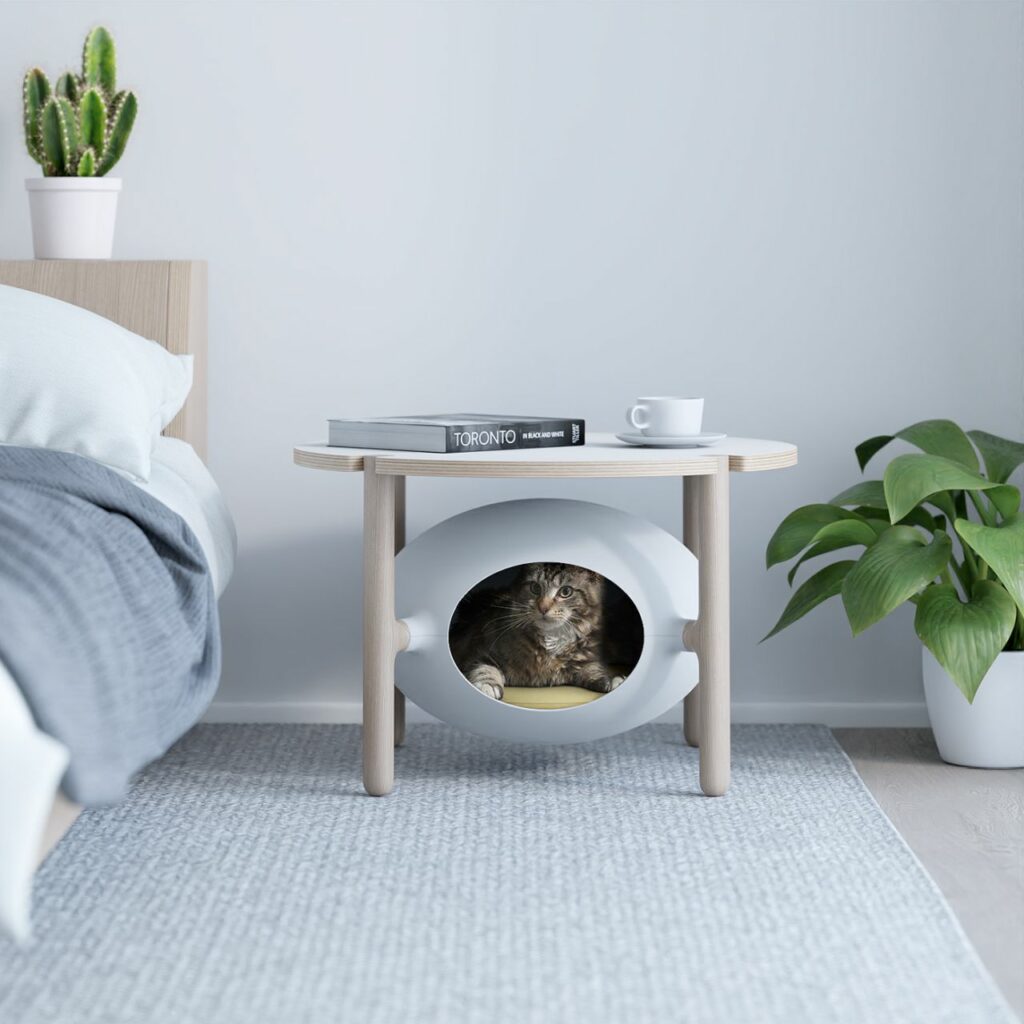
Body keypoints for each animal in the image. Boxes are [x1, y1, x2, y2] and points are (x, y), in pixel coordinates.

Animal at [454, 565, 626, 700]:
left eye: (566, 591)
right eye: (535, 588)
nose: (543, 607)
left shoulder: (583, 663)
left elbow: (595, 671)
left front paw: (614, 681)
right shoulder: (479, 653)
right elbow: (485, 669)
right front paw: (487, 687)